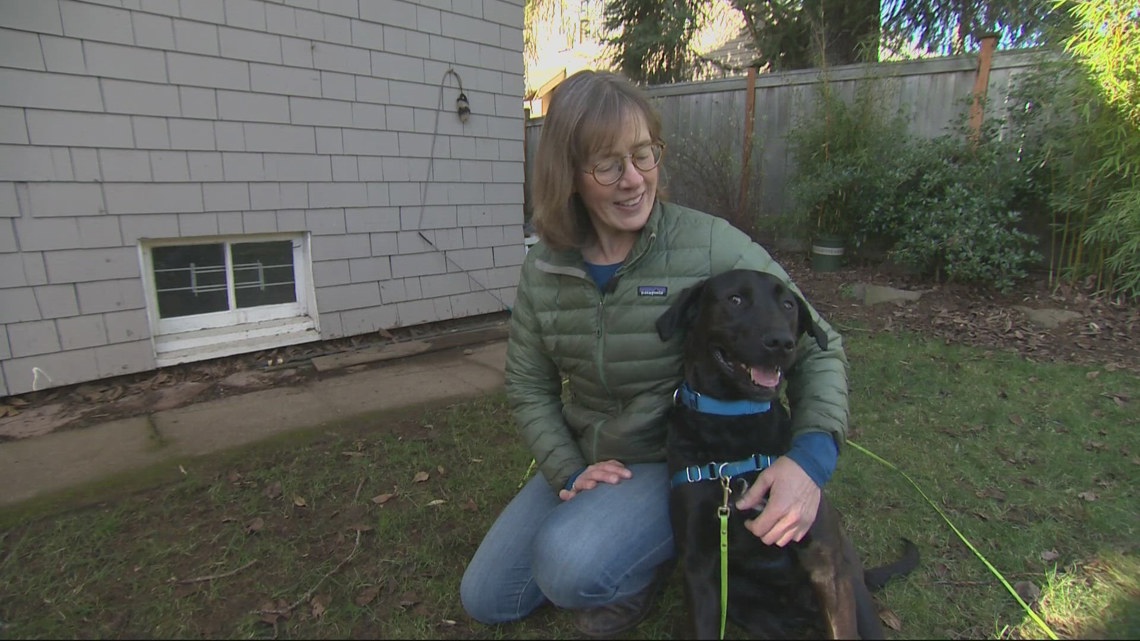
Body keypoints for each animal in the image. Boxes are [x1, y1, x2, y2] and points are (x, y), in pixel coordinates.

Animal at [652, 266, 916, 634]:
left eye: (789, 305)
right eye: (735, 299)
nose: (781, 342)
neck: (734, 423)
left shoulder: (824, 561)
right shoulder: (699, 567)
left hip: (855, 588)